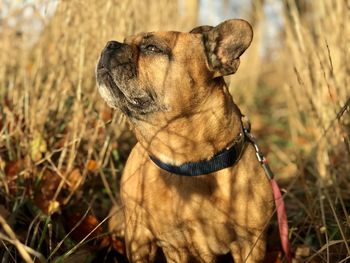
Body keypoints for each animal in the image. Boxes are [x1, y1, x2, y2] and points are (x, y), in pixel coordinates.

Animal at [95, 19, 274, 263]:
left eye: (152, 48)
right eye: (124, 40)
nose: (109, 45)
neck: (190, 163)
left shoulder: (251, 244)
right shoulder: (174, 246)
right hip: (136, 236)